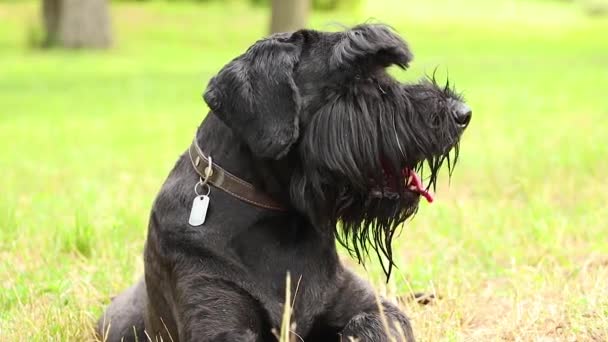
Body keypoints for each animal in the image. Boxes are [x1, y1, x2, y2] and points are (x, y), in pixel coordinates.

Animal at [97, 24, 472, 342]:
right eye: (353, 78)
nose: (461, 113)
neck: (279, 222)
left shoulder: (371, 307)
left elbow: (370, 323)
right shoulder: (217, 319)